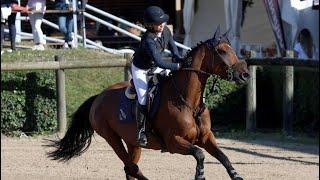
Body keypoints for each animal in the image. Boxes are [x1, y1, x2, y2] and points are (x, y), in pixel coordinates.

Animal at [48, 27, 250, 179]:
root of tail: (98, 97)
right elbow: (199, 154)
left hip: (132, 142)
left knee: (130, 169)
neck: (189, 103)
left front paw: (236, 175)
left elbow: (224, 157)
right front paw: (199, 175)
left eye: (232, 49)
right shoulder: (173, 142)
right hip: (111, 137)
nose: (245, 75)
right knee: (132, 168)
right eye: (222, 51)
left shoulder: (206, 137)